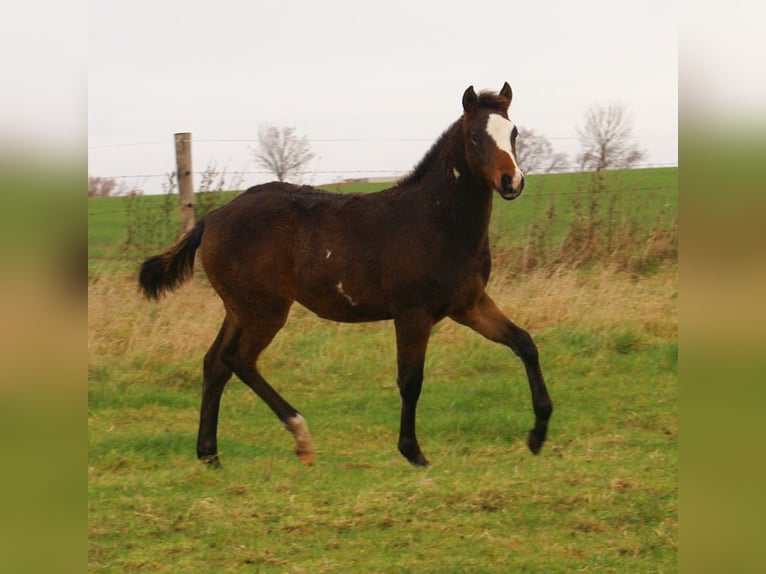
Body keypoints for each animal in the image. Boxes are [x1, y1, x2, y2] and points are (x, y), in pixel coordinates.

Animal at [139, 82, 553, 468]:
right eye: (476, 137)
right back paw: (300, 438)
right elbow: (410, 380)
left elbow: (524, 342)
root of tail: (210, 220)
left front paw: (538, 434)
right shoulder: (413, 313)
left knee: (215, 363)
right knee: (238, 359)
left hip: (239, 309)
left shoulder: (469, 305)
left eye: (513, 132)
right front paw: (413, 452)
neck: (434, 220)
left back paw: (210, 455)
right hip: (265, 311)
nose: (511, 181)